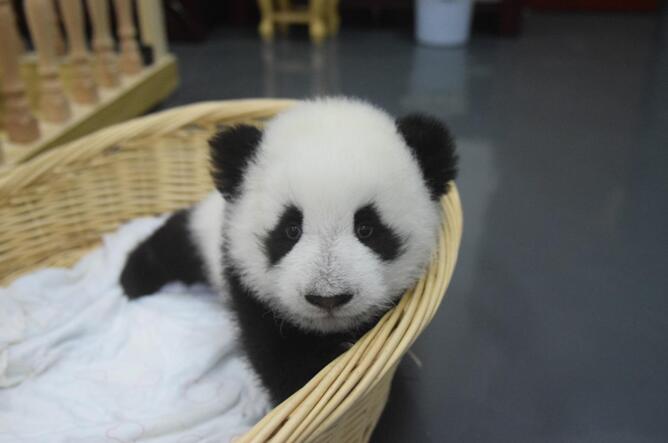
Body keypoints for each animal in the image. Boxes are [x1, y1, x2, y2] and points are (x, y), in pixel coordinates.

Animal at [120, 97, 457, 405]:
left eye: (367, 228)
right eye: (291, 229)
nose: (328, 298)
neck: (326, 332)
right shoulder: (247, 285)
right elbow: (280, 359)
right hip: (207, 231)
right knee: (176, 241)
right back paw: (133, 278)